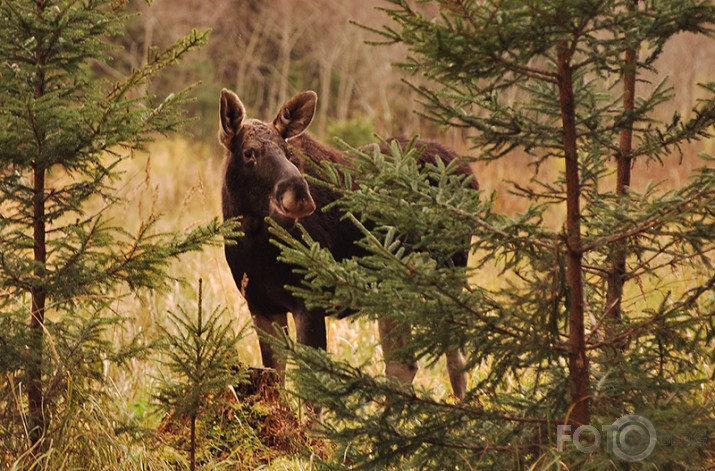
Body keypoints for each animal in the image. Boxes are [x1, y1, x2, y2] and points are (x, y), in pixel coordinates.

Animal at [218, 89, 476, 402]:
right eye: (249, 153)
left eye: (288, 151)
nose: (299, 193)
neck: (255, 250)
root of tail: (468, 172)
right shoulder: (261, 306)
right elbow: (275, 382)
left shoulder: (310, 300)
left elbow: (313, 390)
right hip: (394, 291)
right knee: (404, 365)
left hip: (449, 274)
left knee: (455, 360)